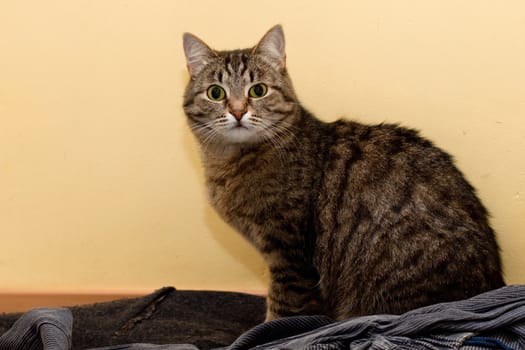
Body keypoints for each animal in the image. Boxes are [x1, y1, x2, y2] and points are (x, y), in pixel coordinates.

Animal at [180, 23, 504, 320]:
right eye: (216, 93)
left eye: (257, 90)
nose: (237, 111)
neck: (231, 163)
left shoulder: (290, 255)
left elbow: (281, 314)